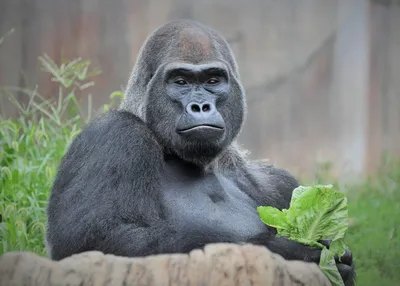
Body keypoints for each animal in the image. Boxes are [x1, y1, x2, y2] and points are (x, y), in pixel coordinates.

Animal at [45, 19, 354, 284]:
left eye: (213, 81)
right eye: (180, 82)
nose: (201, 106)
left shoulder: (278, 184)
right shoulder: (112, 136)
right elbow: (98, 239)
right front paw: (288, 250)